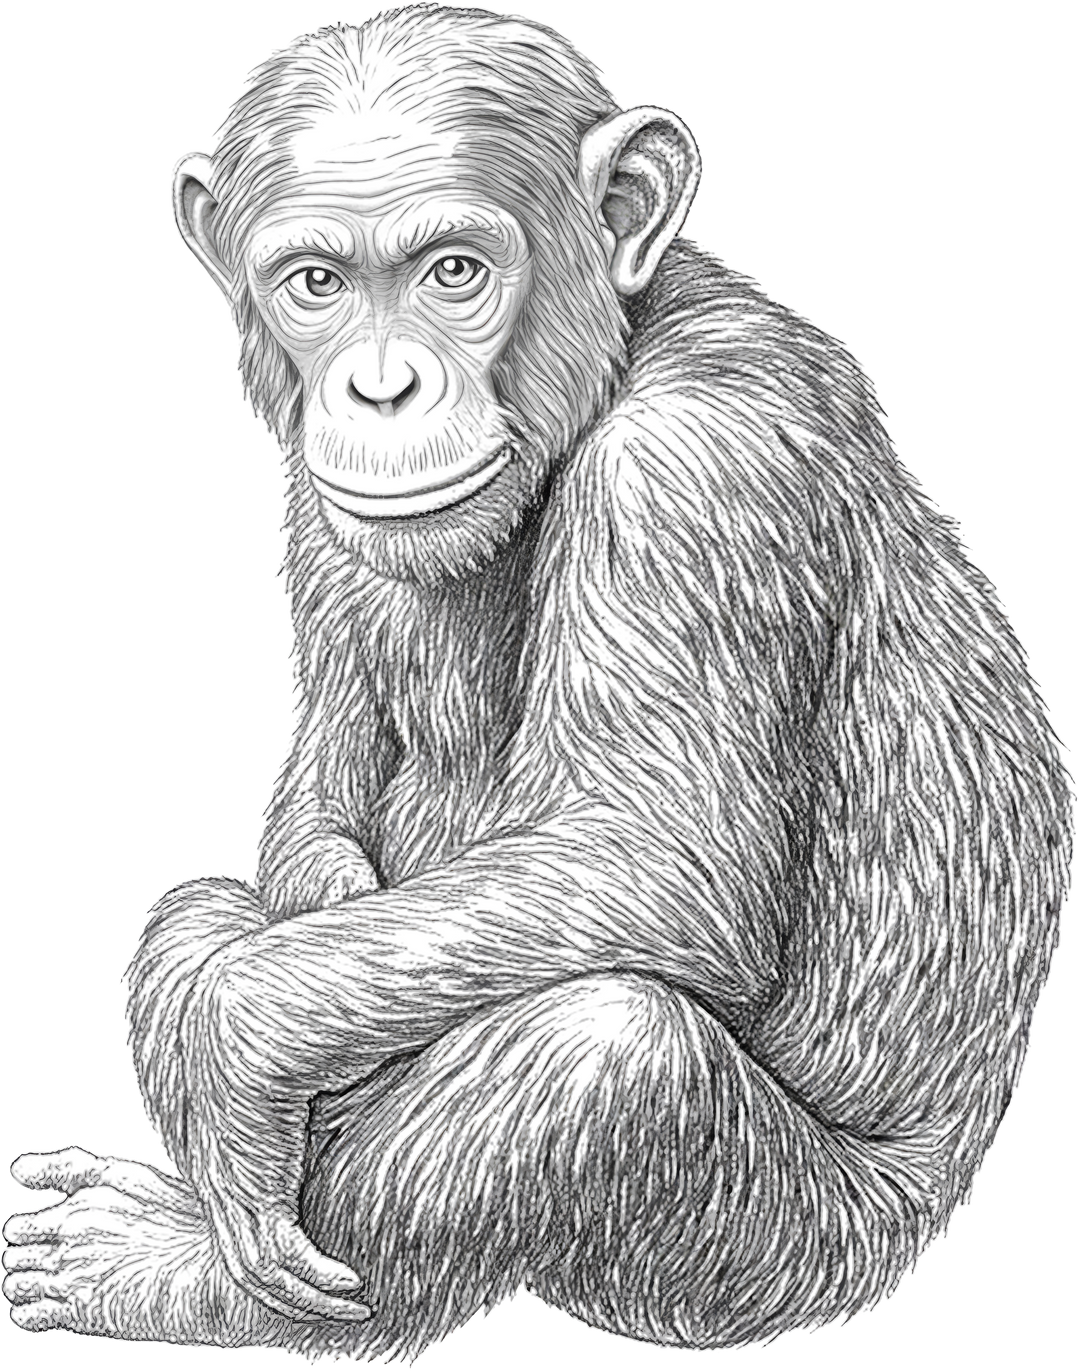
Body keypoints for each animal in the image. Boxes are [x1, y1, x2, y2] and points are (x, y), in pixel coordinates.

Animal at [3, 5, 1074, 1365]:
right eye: (316, 285)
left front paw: (238, 1048)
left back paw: (173, 1274)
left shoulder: (695, 476)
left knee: (605, 1054)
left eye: (456, 271)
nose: (381, 386)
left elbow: (659, 856)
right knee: (192, 907)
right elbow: (320, 787)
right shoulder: (314, 490)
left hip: (783, 1259)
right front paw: (301, 950)